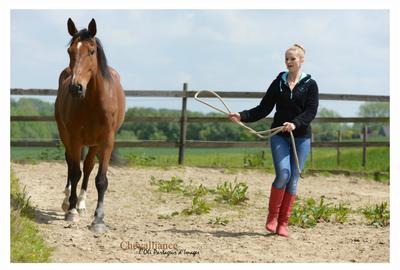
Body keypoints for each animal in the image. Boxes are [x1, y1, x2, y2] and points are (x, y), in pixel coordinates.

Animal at [55, 18, 125, 234]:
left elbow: (100, 179)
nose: (75, 87)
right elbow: (74, 172)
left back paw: (82, 204)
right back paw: (68, 201)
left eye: (92, 51)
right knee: (71, 165)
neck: (93, 102)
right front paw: (71, 211)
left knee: (87, 167)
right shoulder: (74, 138)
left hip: (94, 144)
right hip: (67, 136)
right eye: (70, 51)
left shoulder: (107, 141)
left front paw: (98, 220)